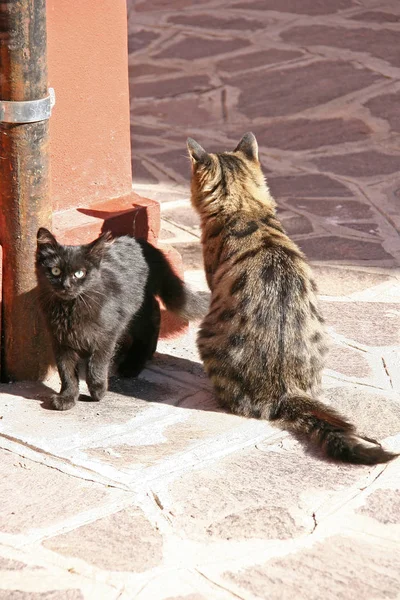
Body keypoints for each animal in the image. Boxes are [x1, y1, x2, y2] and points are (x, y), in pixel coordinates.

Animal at [36, 227, 209, 410]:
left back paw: (134, 364)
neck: (70, 309)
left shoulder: (107, 334)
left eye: (79, 273)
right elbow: (66, 371)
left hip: (136, 307)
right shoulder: (60, 340)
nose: (66, 285)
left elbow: (96, 363)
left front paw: (98, 391)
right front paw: (67, 397)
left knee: (152, 321)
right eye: (55, 271)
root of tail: (145, 244)